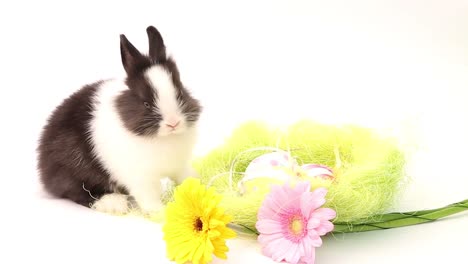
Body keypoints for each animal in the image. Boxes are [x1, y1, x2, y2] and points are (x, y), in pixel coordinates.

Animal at [37, 25, 202, 214]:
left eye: (180, 94)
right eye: (146, 103)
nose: (173, 123)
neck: (166, 138)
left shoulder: (180, 165)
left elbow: (187, 178)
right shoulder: (141, 177)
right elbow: (149, 195)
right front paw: (159, 212)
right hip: (74, 171)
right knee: (78, 192)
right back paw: (113, 203)